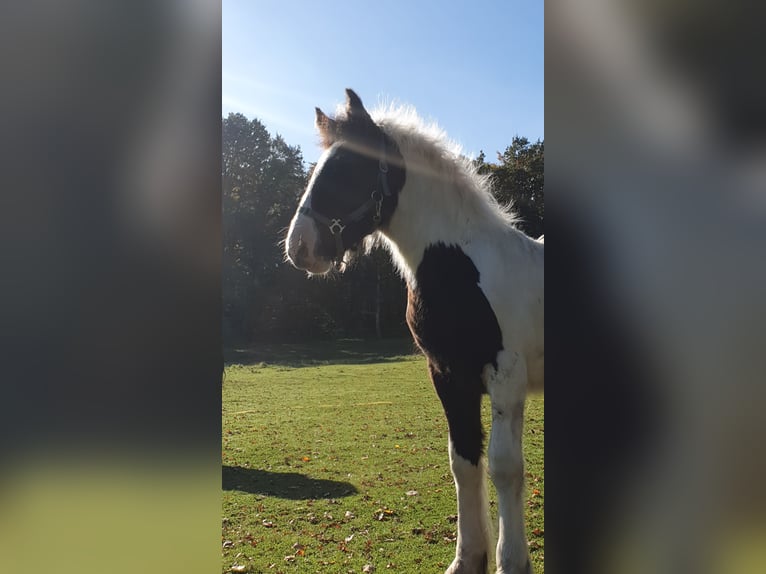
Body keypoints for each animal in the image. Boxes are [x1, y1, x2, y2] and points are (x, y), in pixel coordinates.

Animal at [284, 90, 544, 574]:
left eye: (348, 167)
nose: (300, 247)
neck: (461, 266)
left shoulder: (505, 374)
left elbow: (503, 466)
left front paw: (511, 561)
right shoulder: (448, 375)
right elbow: (464, 461)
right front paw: (468, 559)